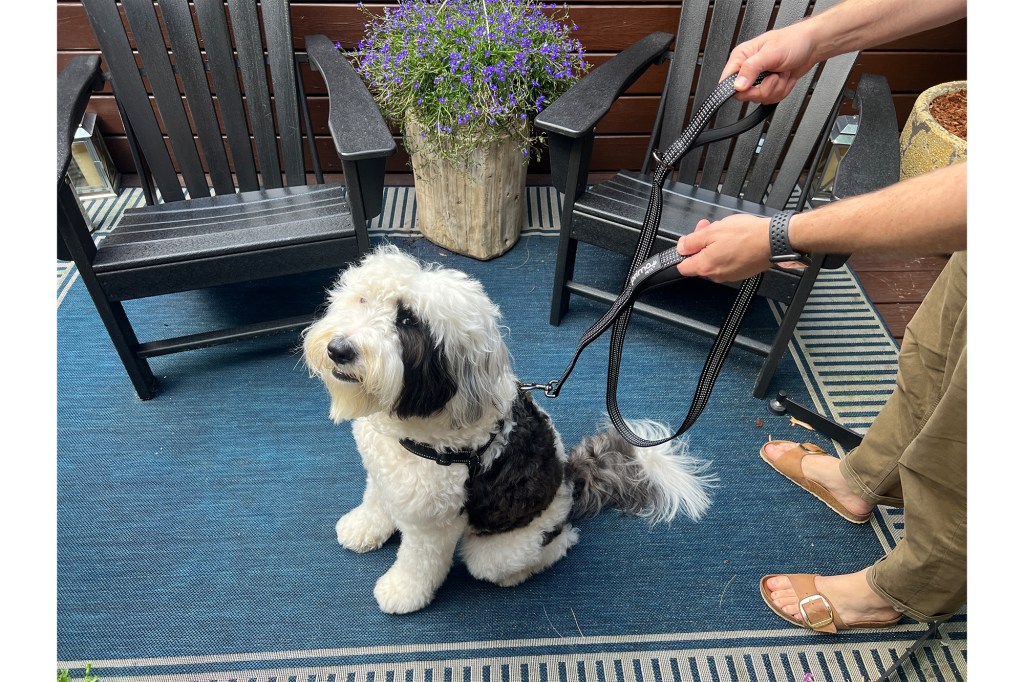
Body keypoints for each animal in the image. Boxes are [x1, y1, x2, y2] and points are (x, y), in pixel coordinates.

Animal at [299, 242, 716, 610]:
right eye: (362, 300)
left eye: (407, 321)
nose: (338, 350)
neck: (416, 420)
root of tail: (571, 480)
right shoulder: (383, 474)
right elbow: (375, 500)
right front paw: (363, 527)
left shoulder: (435, 523)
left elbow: (419, 562)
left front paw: (402, 592)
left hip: (500, 549)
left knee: (558, 545)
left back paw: (518, 574)